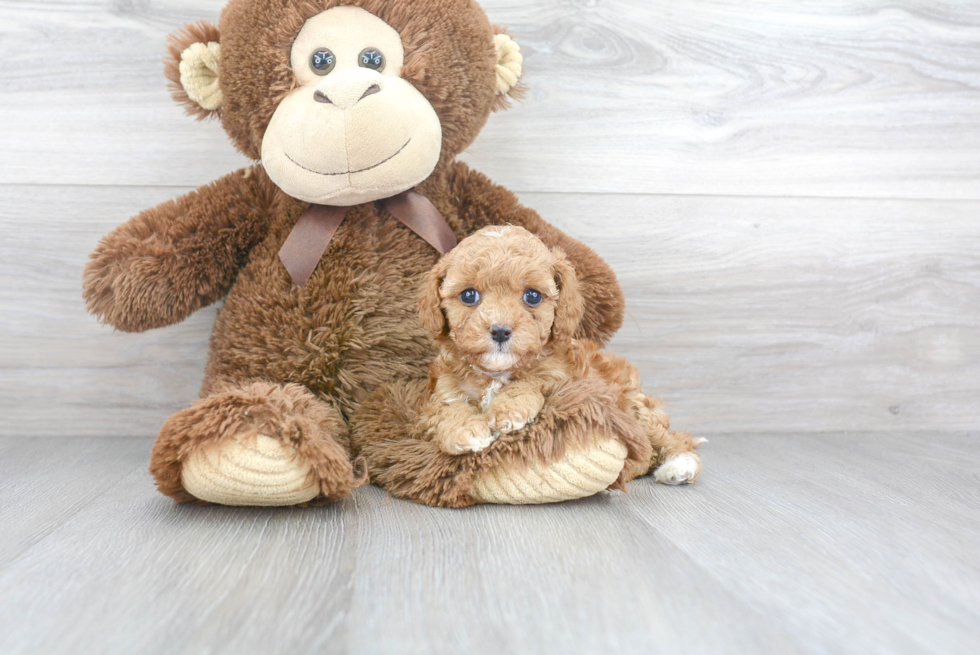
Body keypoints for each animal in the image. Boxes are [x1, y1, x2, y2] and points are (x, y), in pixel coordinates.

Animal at [416, 226, 704, 486]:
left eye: (532, 296)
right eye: (468, 295)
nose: (500, 331)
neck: (497, 373)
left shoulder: (562, 378)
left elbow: (532, 380)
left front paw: (509, 408)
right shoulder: (438, 394)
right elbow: (448, 408)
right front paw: (466, 430)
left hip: (635, 405)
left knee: (668, 438)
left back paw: (680, 465)